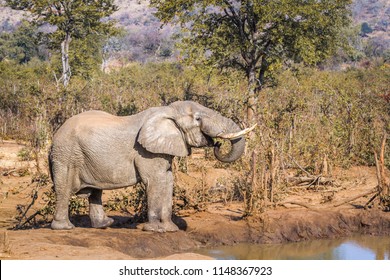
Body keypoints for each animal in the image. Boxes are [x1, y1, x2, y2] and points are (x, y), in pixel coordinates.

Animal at [48, 100, 256, 232]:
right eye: (197, 119)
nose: (217, 144)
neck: (168, 111)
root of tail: (55, 136)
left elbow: (168, 180)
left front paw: (170, 229)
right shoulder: (146, 151)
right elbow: (155, 181)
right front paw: (155, 230)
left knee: (95, 192)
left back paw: (105, 224)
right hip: (66, 154)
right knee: (64, 189)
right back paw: (64, 227)